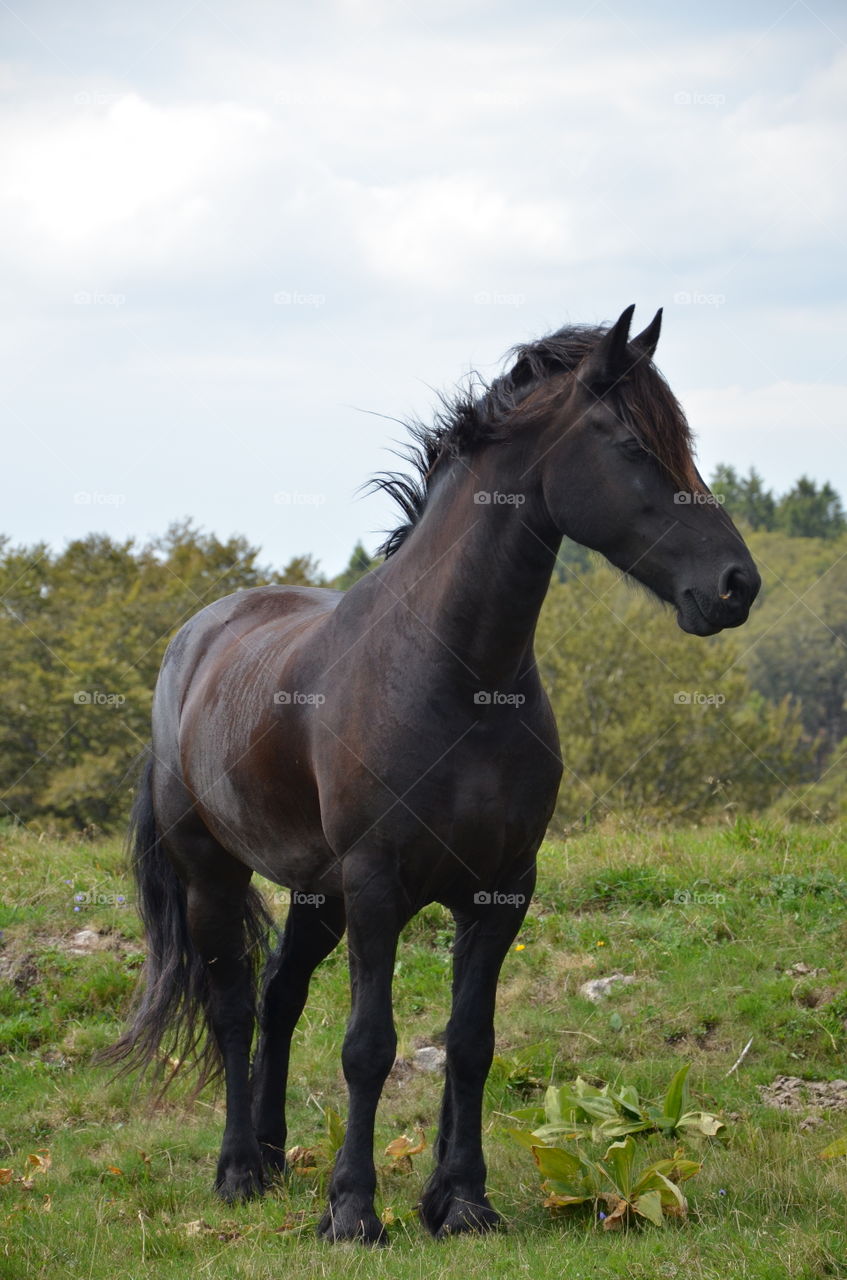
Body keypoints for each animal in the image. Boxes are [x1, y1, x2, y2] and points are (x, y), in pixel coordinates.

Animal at [104, 305, 760, 1243]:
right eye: (634, 445)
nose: (737, 585)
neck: (456, 675)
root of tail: (193, 641)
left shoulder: (498, 891)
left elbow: (469, 1041)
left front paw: (460, 1200)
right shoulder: (379, 888)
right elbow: (368, 1046)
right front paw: (353, 1210)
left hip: (317, 892)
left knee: (278, 996)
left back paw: (271, 1155)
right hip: (215, 876)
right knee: (232, 1007)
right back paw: (236, 1170)